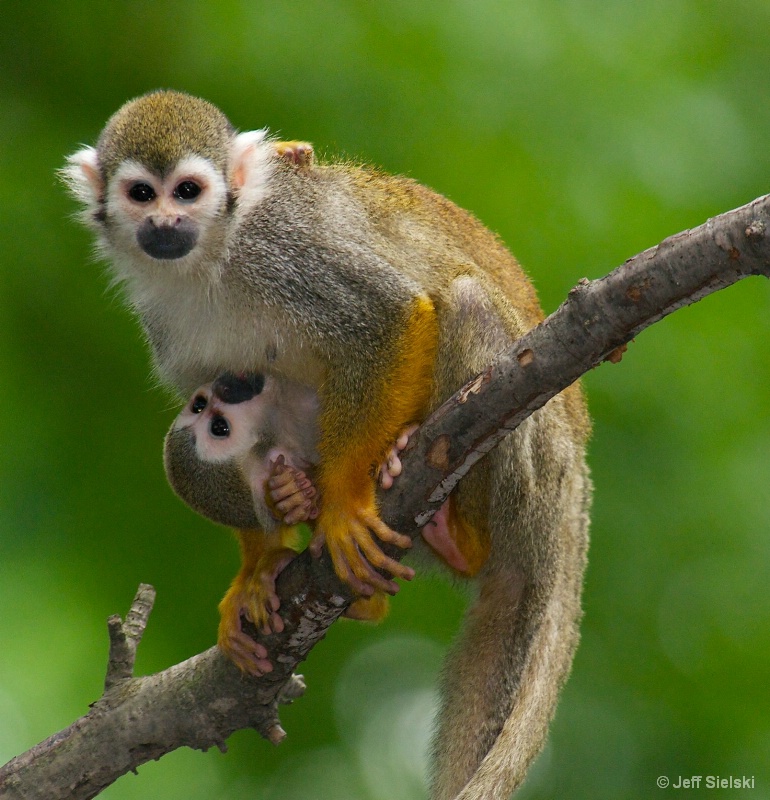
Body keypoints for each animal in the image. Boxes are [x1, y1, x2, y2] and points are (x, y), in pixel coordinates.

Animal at [63, 90, 592, 800]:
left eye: (188, 191)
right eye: (141, 193)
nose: (166, 223)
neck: (211, 259)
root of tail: (574, 480)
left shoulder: (284, 249)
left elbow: (386, 317)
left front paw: (340, 505)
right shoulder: (163, 325)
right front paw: (260, 565)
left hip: (538, 462)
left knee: (467, 302)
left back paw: (457, 528)